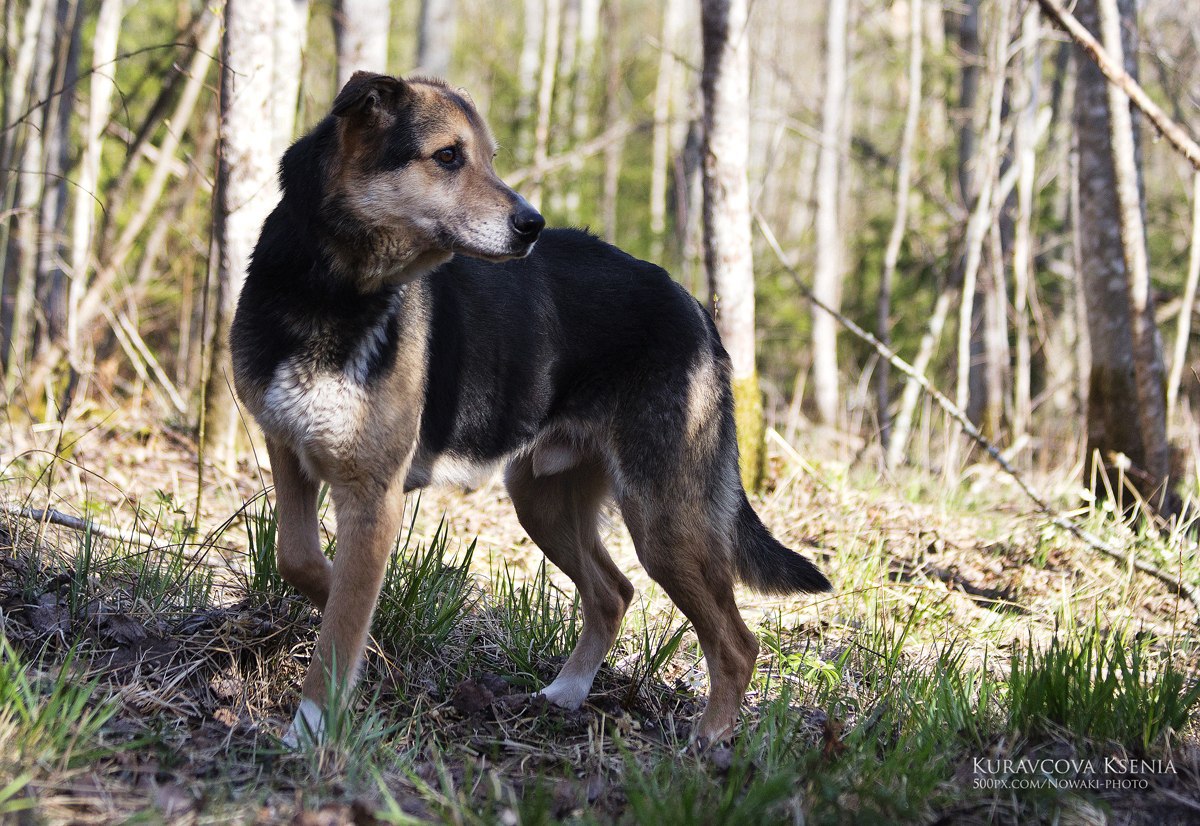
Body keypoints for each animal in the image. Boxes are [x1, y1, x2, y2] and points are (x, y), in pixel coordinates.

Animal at [234, 72, 835, 749]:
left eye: (489, 157)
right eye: (449, 156)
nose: (533, 225)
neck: (330, 293)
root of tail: (694, 307)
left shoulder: (373, 495)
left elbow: (339, 629)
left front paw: (310, 729)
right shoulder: (290, 453)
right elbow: (303, 563)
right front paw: (364, 628)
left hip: (663, 520)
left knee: (736, 641)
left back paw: (708, 741)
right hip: (543, 499)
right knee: (613, 593)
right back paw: (566, 694)